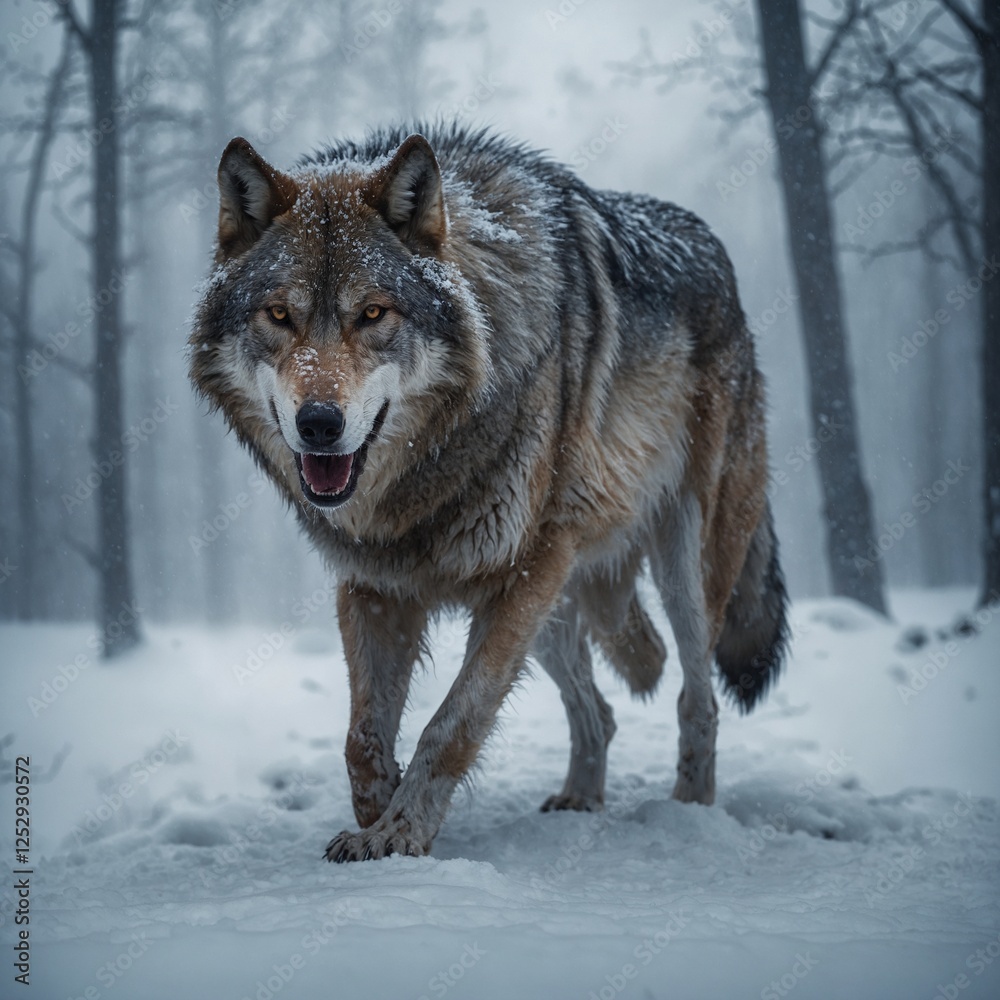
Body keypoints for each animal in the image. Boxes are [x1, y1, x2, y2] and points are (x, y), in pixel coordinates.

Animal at [190, 124, 788, 862]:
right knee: (600, 711)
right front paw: (376, 816)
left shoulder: (525, 570)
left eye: (372, 313)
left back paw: (690, 814)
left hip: (679, 568)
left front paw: (404, 832)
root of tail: (720, 256)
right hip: (553, 610)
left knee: (694, 699)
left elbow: (452, 724)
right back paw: (580, 800)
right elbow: (362, 741)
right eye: (279, 315)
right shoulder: (375, 582)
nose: (319, 425)